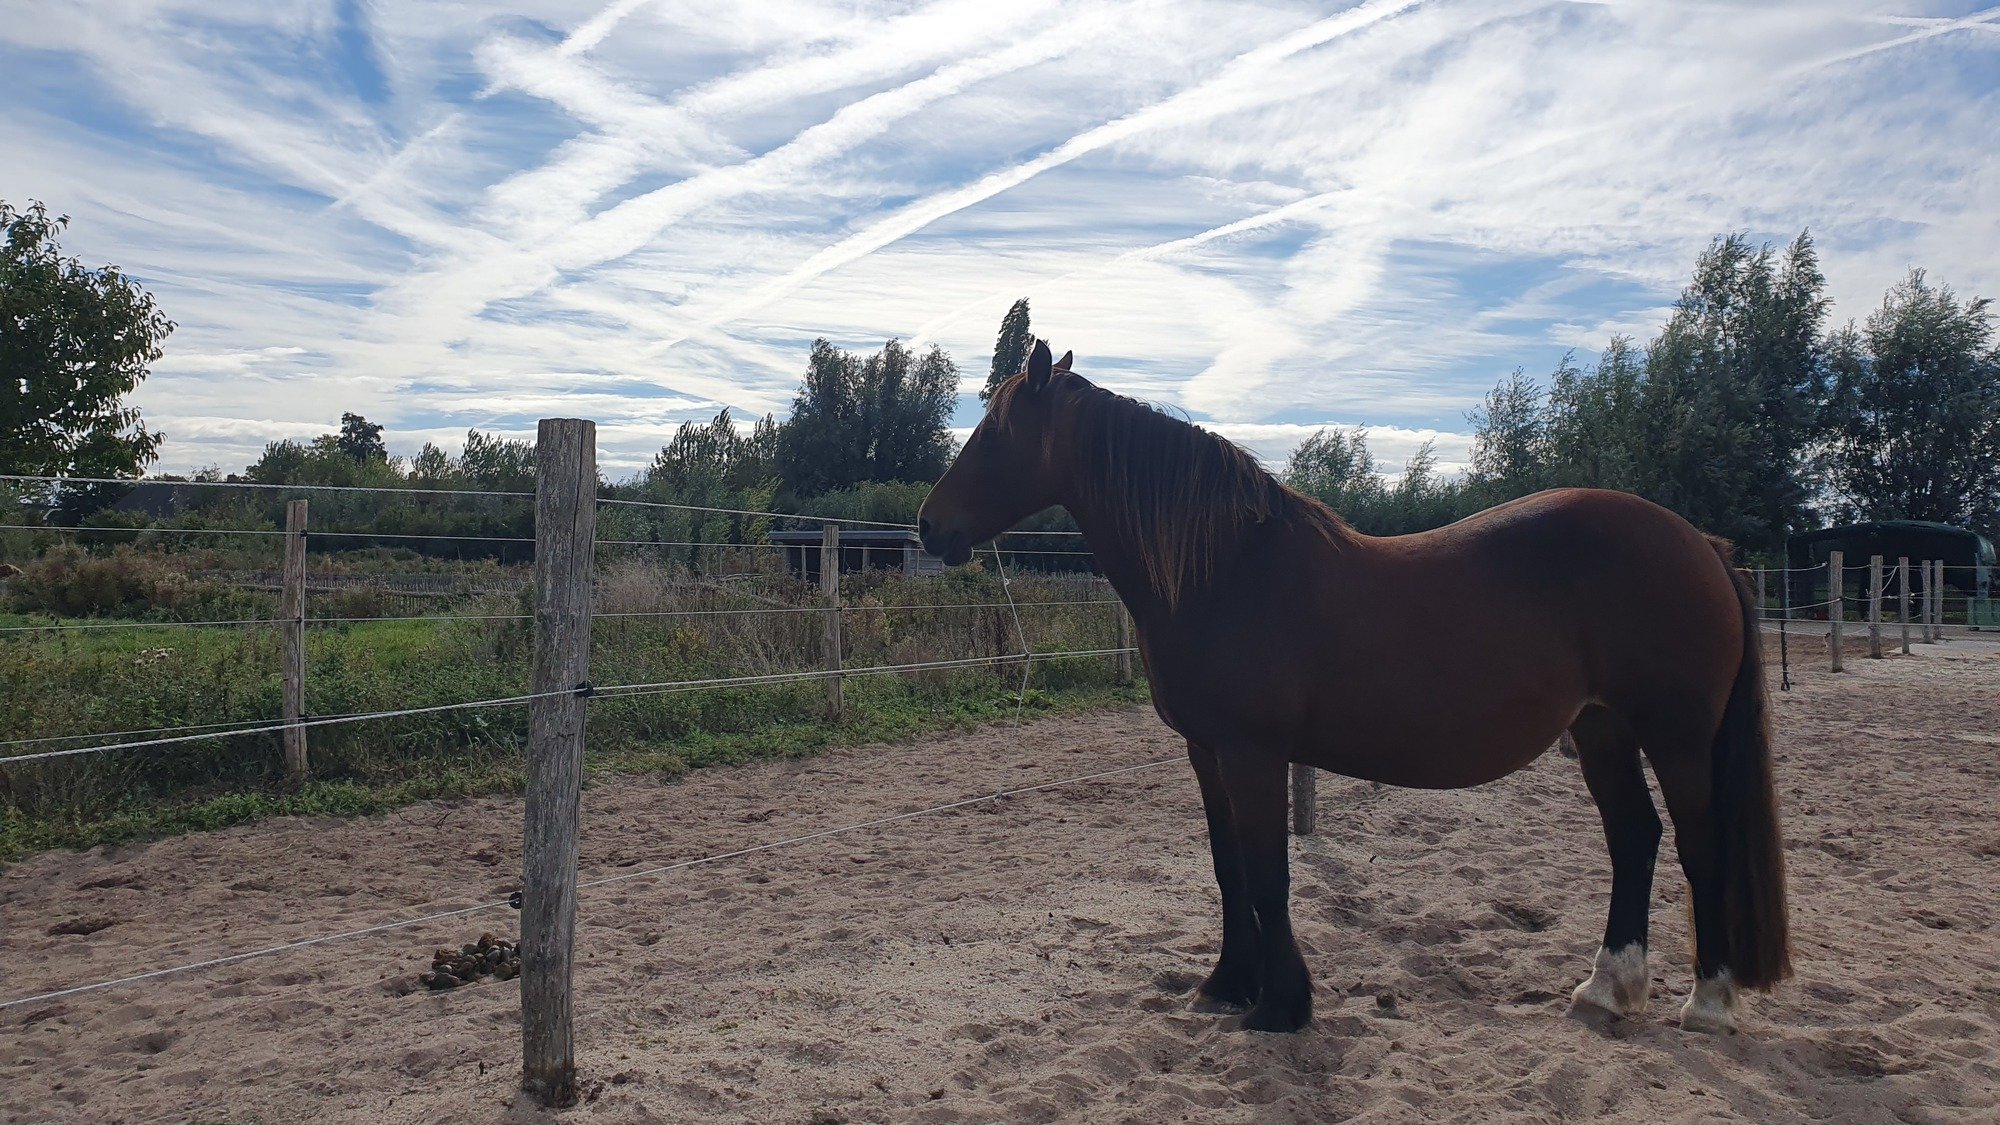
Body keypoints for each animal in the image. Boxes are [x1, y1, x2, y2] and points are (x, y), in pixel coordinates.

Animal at [917, 340, 1790, 1035]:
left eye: (993, 433)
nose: (929, 525)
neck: (1226, 568)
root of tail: (1704, 545)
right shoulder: (1207, 752)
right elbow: (1229, 868)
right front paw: (1227, 984)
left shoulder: (1253, 752)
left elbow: (1269, 873)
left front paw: (1281, 1004)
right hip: (1604, 729)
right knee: (1634, 837)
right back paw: (1608, 988)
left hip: (1676, 738)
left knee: (1697, 846)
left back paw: (1708, 1002)